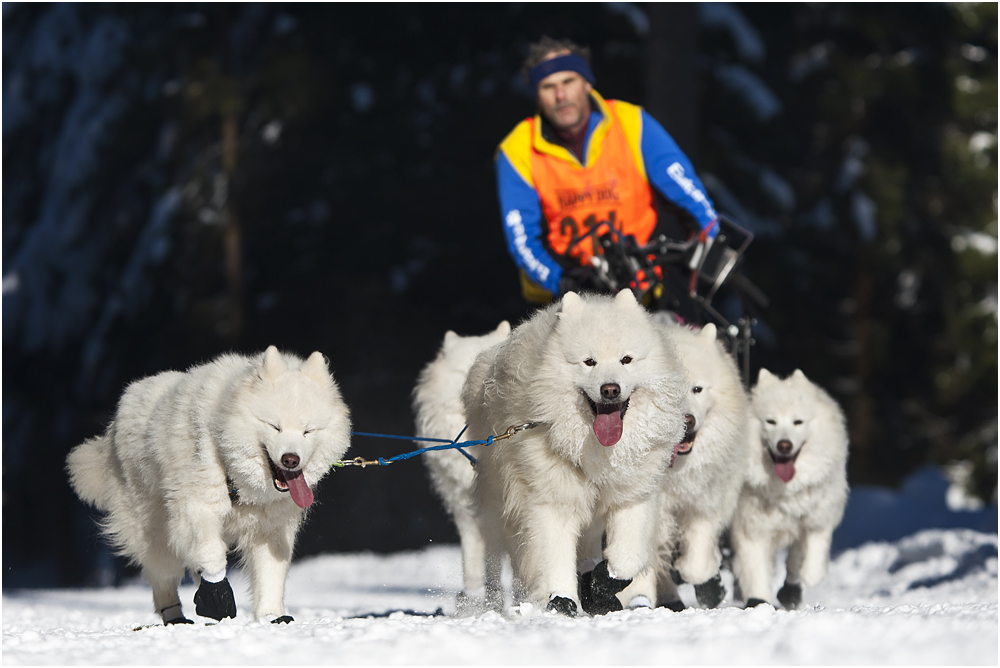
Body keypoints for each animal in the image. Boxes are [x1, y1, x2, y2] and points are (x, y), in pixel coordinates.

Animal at [64, 348, 350, 624]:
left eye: (308, 431)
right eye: (274, 426)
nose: (291, 459)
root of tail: (114, 424)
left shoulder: (270, 529)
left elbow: (270, 574)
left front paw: (271, 615)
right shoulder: (195, 506)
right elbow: (211, 553)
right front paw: (216, 595)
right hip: (154, 531)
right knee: (163, 576)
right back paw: (175, 616)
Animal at [462, 290, 688, 620]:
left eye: (626, 359)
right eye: (589, 362)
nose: (610, 389)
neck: (598, 453)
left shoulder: (634, 497)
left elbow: (628, 557)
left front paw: (601, 585)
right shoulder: (551, 500)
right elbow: (553, 555)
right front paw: (561, 599)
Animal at [624, 324, 752, 612]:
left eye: (697, 389)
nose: (688, 420)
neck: (676, 475)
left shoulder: (704, 503)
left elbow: (696, 563)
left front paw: (706, 582)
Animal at [732, 370, 848, 612]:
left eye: (798, 422)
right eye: (771, 421)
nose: (784, 445)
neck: (785, 490)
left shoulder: (818, 517)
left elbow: (811, 560)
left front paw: (807, 576)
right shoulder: (751, 528)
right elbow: (755, 570)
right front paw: (759, 602)